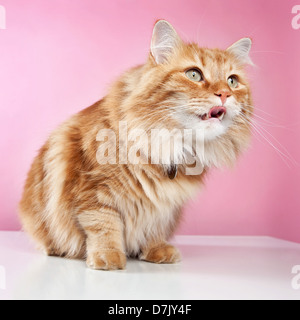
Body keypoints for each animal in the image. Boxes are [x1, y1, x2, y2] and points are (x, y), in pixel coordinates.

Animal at [18, 20, 253, 270]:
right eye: (194, 74)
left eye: (232, 81)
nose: (225, 93)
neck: (169, 144)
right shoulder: (94, 192)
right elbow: (104, 227)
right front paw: (108, 258)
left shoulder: (164, 205)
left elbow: (154, 230)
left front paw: (156, 251)